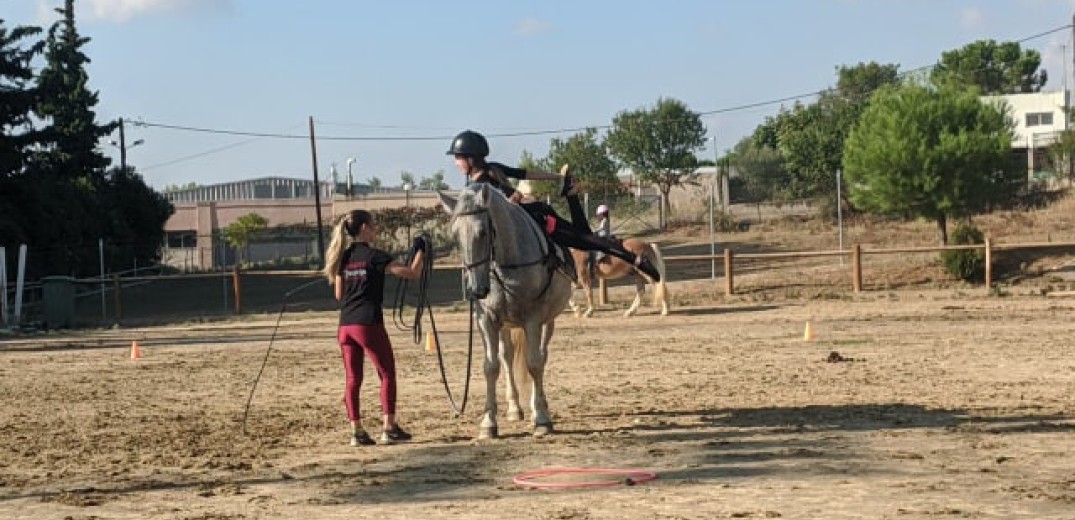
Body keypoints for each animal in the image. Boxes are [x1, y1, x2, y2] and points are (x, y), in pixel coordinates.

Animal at [436, 182, 576, 438]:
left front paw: (541, 420)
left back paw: (538, 407)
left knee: (541, 356)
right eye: (456, 235)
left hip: (547, 321)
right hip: (505, 325)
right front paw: (489, 423)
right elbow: (491, 367)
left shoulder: (533, 320)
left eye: (483, 232)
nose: (475, 289)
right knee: (507, 357)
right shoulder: (487, 321)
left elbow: (534, 363)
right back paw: (514, 408)